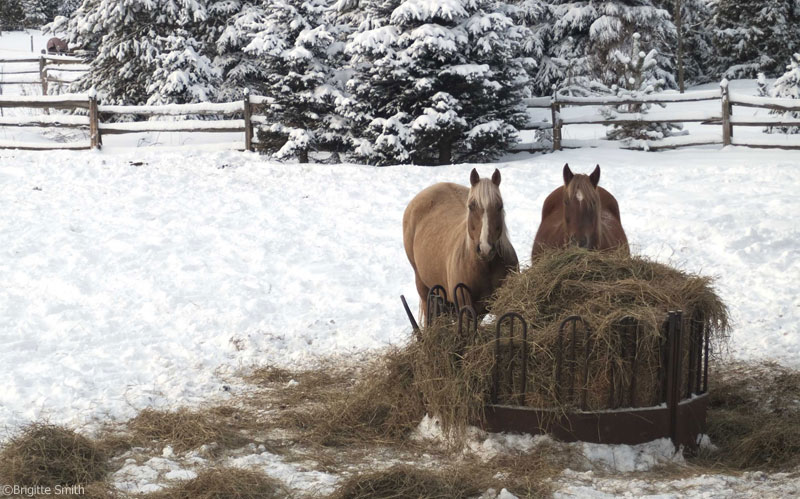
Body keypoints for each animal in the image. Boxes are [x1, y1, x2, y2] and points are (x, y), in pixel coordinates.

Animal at [404, 168, 520, 324]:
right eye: (471, 206)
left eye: (499, 206)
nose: (486, 249)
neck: (484, 267)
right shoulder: (465, 309)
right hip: (424, 289)